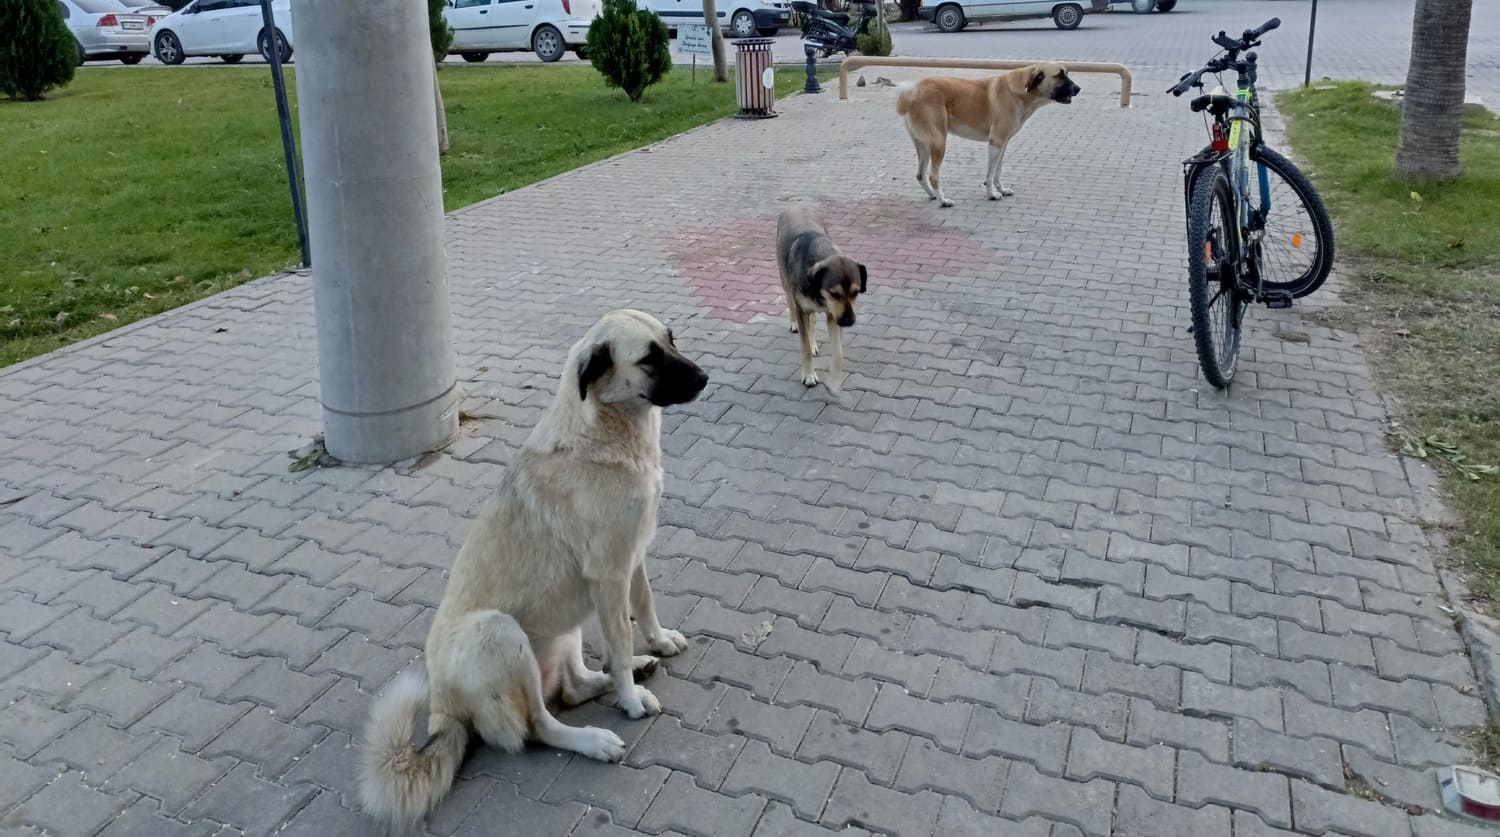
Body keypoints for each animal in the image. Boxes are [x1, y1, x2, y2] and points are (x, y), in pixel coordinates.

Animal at [894, 61, 1086, 207]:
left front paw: (1001, 189)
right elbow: (990, 173)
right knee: (933, 176)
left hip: (924, 145)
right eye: (1059, 75)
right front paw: (991, 194)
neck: (1021, 92)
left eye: (1066, 73)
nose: (1078, 89)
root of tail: (912, 91)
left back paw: (933, 195)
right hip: (939, 142)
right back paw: (943, 200)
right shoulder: (996, 142)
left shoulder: (1003, 144)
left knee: (920, 175)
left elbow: (997, 171)